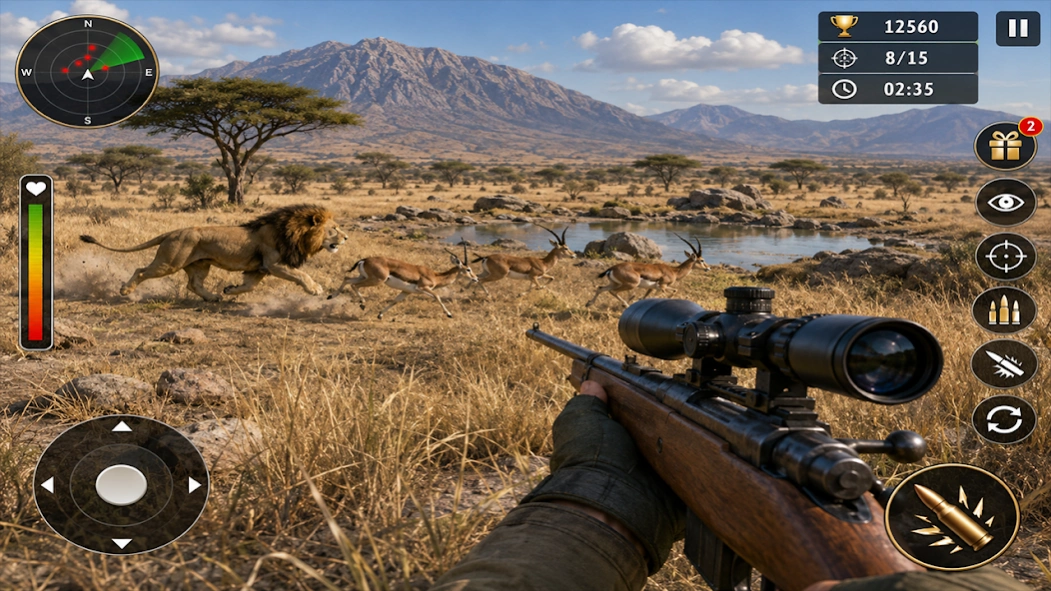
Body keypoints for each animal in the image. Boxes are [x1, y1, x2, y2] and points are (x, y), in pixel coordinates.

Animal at [327, 243, 478, 319]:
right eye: (468, 269)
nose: (475, 278)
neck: (434, 275)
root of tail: (364, 259)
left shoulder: (406, 292)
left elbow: (395, 301)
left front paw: (380, 314)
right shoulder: (423, 288)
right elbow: (437, 297)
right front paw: (449, 314)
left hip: (364, 277)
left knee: (347, 279)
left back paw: (331, 296)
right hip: (376, 280)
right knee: (354, 284)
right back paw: (362, 304)